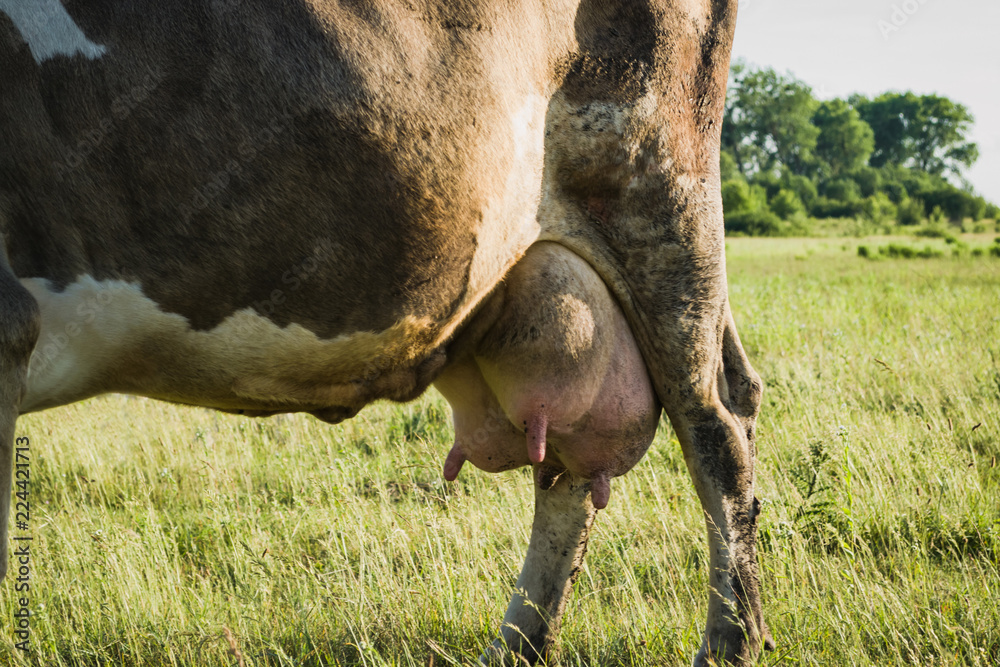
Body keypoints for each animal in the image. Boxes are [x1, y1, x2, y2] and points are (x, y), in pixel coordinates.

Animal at [0, 1, 771, 664]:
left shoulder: (11, 324)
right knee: (568, 464)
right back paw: (514, 647)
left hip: (664, 198)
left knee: (715, 424)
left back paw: (727, 644)